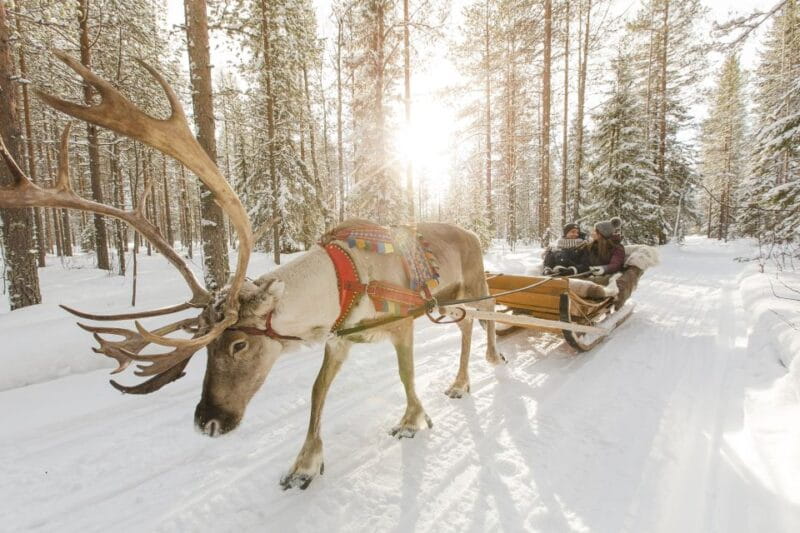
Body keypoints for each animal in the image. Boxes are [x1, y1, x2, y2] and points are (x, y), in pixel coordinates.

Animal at [0, 52, 504, 490]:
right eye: (205, 347)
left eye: (238, 344)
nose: (208, 422)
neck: (345, 281)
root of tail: (472, 231)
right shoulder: (339, 338)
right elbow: (317, 393)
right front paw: (304, 465)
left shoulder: (401, 326)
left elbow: (406, 377)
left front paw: (412, 420)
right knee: (473, 323)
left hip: (470, 287)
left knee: (483, 319)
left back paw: (474, 372)